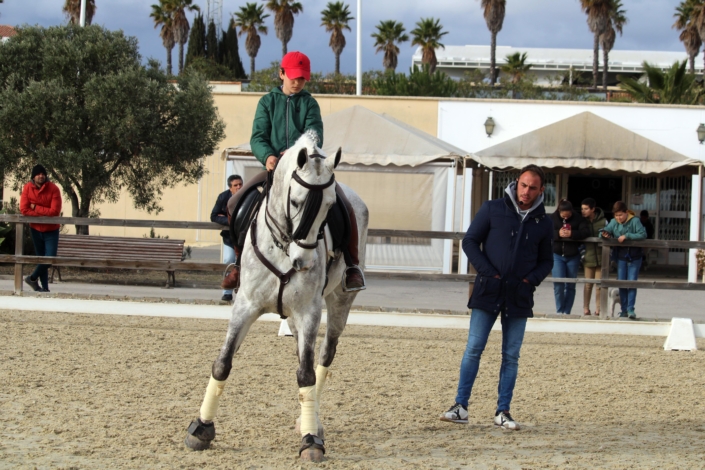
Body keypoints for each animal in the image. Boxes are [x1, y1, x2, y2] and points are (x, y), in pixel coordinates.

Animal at [182, 131, 368, 462]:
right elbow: (222, 362)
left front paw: (311, 439)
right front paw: (201, 428)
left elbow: (306, 374)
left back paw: (312, 421)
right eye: (295, 201)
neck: (283, 245)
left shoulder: (309, 311)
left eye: (329, 206)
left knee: (324, 355)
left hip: (339, 302)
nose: (303, 262)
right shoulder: (245, 306)